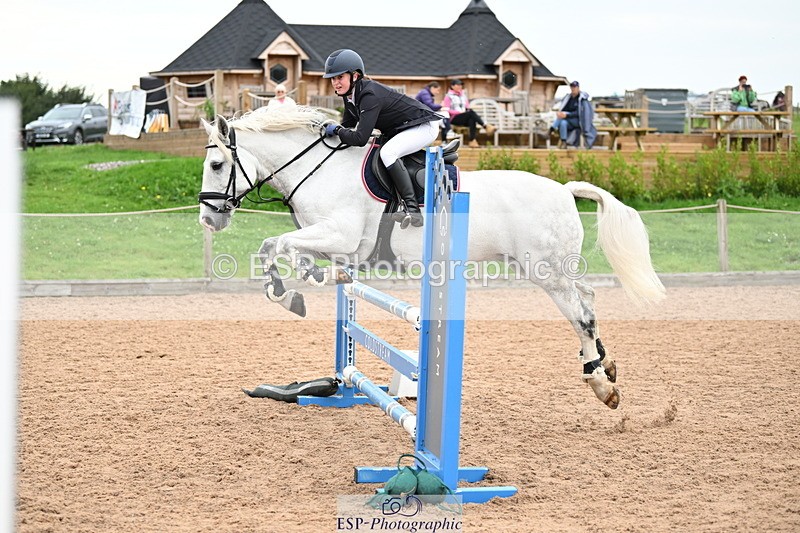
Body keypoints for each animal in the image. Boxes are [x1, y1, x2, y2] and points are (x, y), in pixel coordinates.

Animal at [197, 105, 666, 409]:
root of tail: (565, 189)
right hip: (554, 267)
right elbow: (279, 249)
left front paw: (295, 291)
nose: (208, 217)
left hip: (544, 271)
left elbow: (280, 246)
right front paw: (303, 285)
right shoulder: (333, 242)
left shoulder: (341, 234)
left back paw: (601, 385)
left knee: (579, 314)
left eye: (217, 164)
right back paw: (606, 366)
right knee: (588, 298)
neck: (318, 169)